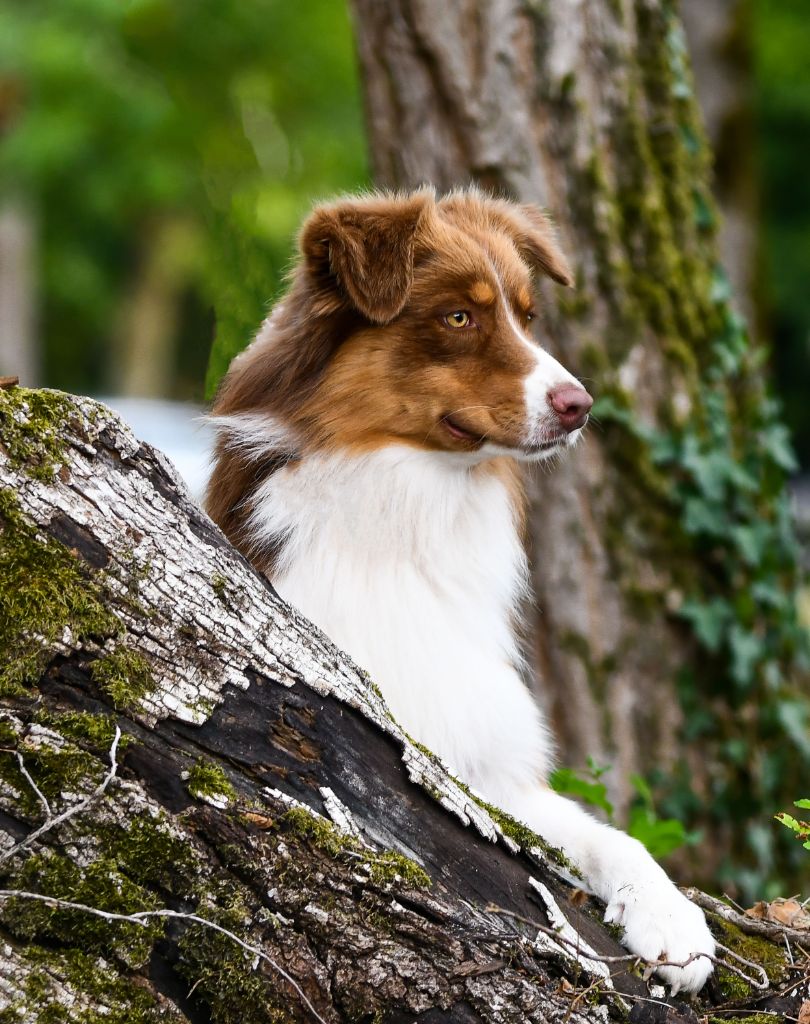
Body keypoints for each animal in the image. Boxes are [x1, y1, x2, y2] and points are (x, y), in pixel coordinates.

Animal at [204, 186, 716, 991]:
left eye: (529, 316)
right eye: (458, 317)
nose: (581, 404)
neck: (410, 514)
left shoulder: (491, 772)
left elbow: (611, 837)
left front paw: (672, 920)